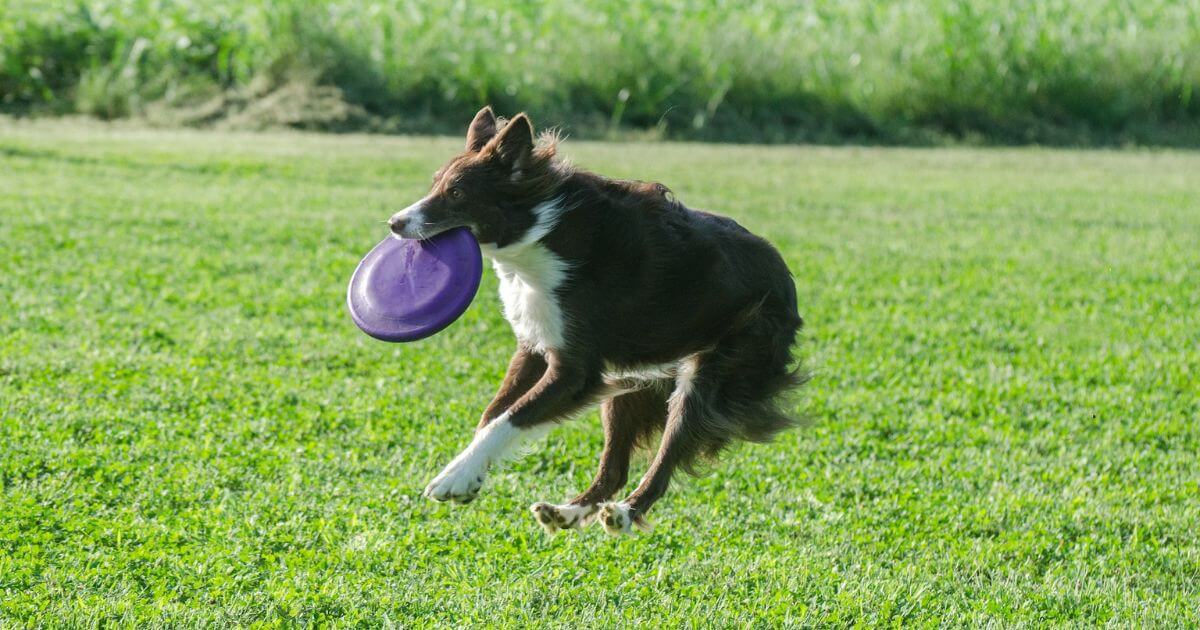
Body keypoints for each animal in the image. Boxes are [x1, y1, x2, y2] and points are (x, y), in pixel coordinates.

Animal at [391, 109, 806, 535]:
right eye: (435, 184)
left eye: (457, 193)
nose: (395, 223)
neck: (538, 233)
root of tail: (786, 281)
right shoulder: (534, 346)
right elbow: (492, 413)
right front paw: (470, 473)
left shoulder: (576, 372)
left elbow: (511, 416)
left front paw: (453, 477)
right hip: (632, 378)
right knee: (614, 469)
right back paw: (567, 512)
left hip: (714, 366)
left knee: (667, 454)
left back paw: (625, 512)